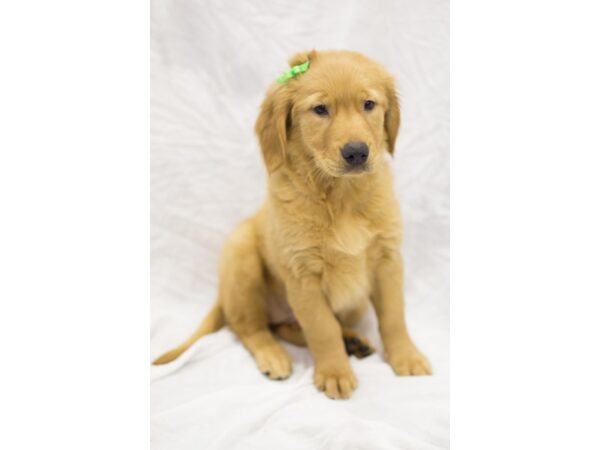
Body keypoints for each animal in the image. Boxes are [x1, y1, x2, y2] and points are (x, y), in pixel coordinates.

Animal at [152, 49, 428, 400]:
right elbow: (322, 329)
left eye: (369, 104)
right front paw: (335, 373)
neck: (341, 197)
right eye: (320, 109)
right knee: (250, 327)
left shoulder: (387, 260)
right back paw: (275, 356)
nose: (356, 152)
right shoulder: (303, 274)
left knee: (286, 326)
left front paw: (407, 357)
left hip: (352, 303)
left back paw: (353, 340)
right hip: (242, 257)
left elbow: (394, 316)